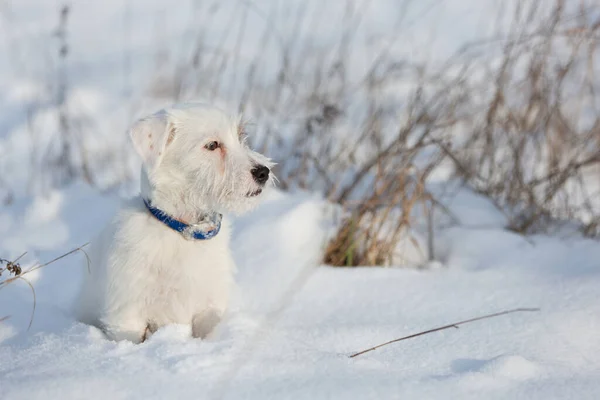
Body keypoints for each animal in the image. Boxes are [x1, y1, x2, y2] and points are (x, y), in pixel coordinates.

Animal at [77, 104, 272, 344]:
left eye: (240, 136)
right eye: (212, 145)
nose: (263, 172)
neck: (184, 230)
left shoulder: (209, 304)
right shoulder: (126, 315)